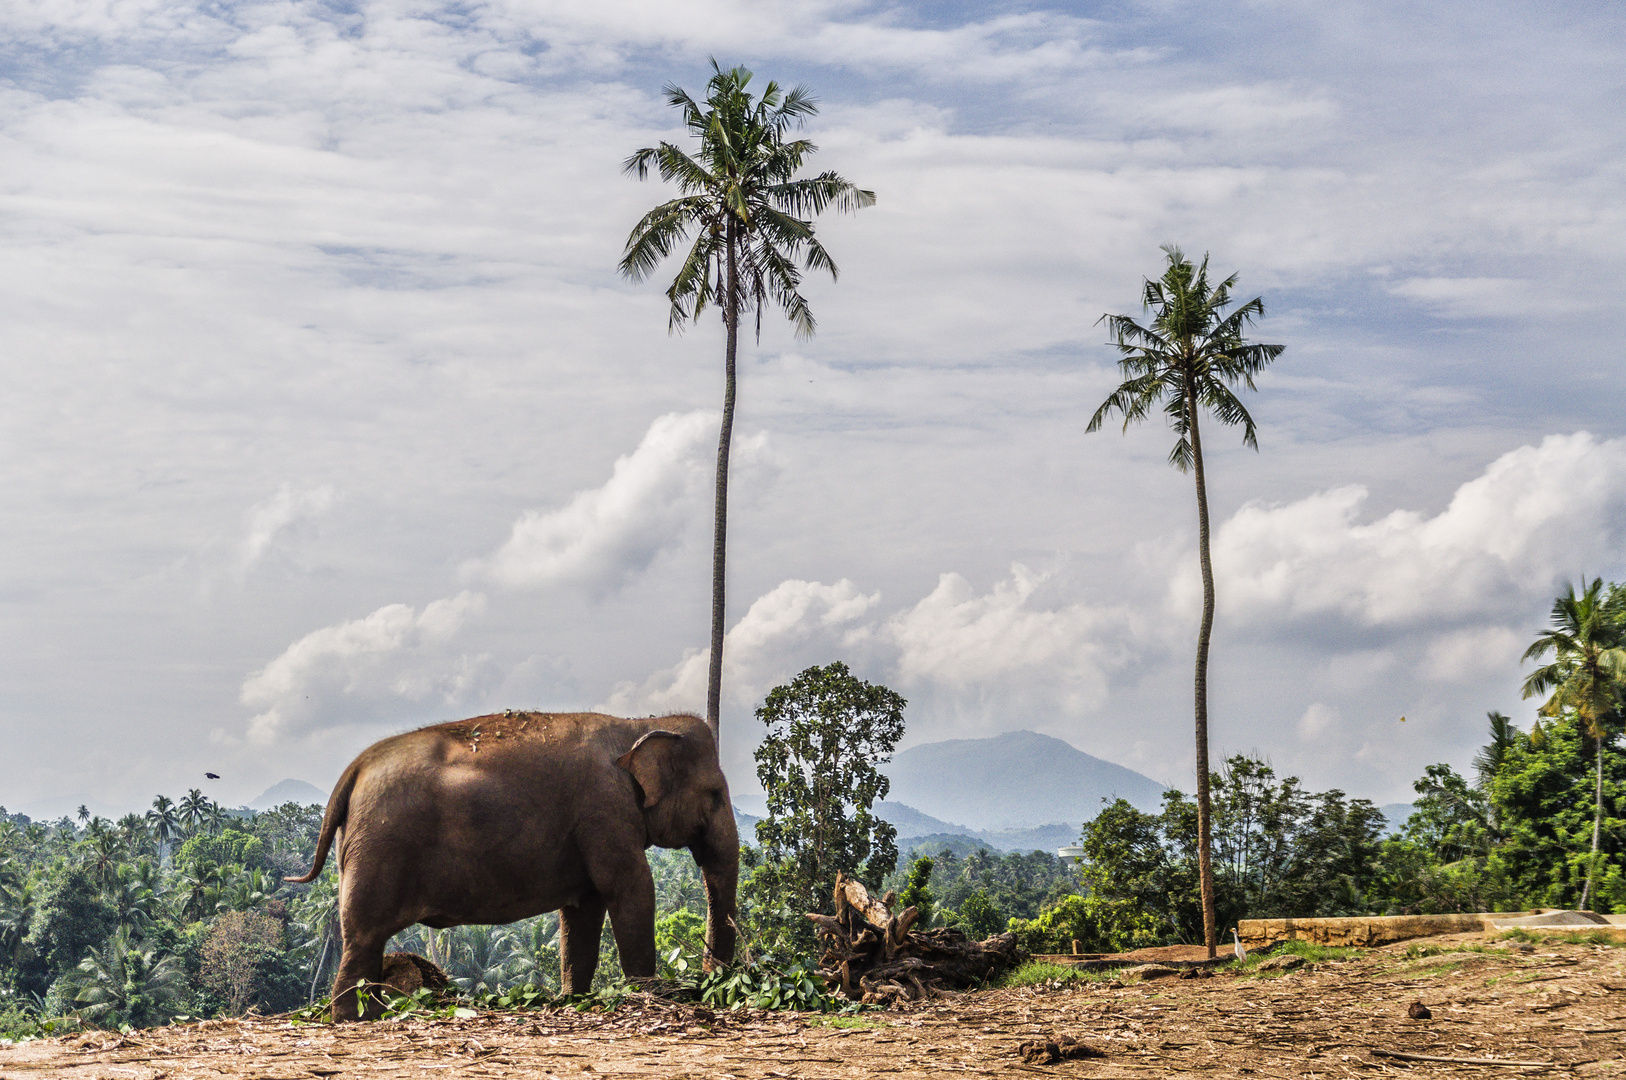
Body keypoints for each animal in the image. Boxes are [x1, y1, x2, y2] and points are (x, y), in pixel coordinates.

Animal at [286, 712, 738, 1014]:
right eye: (715, 794)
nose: (710, 982)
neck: (637, 723)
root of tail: (355, 768)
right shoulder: (605, 811)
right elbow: (631, 887)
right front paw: (653, 994)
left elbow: (583, 908)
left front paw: (573, 999)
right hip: (379, 849)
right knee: (362, 939)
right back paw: (357, 1019)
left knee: (365, 942)